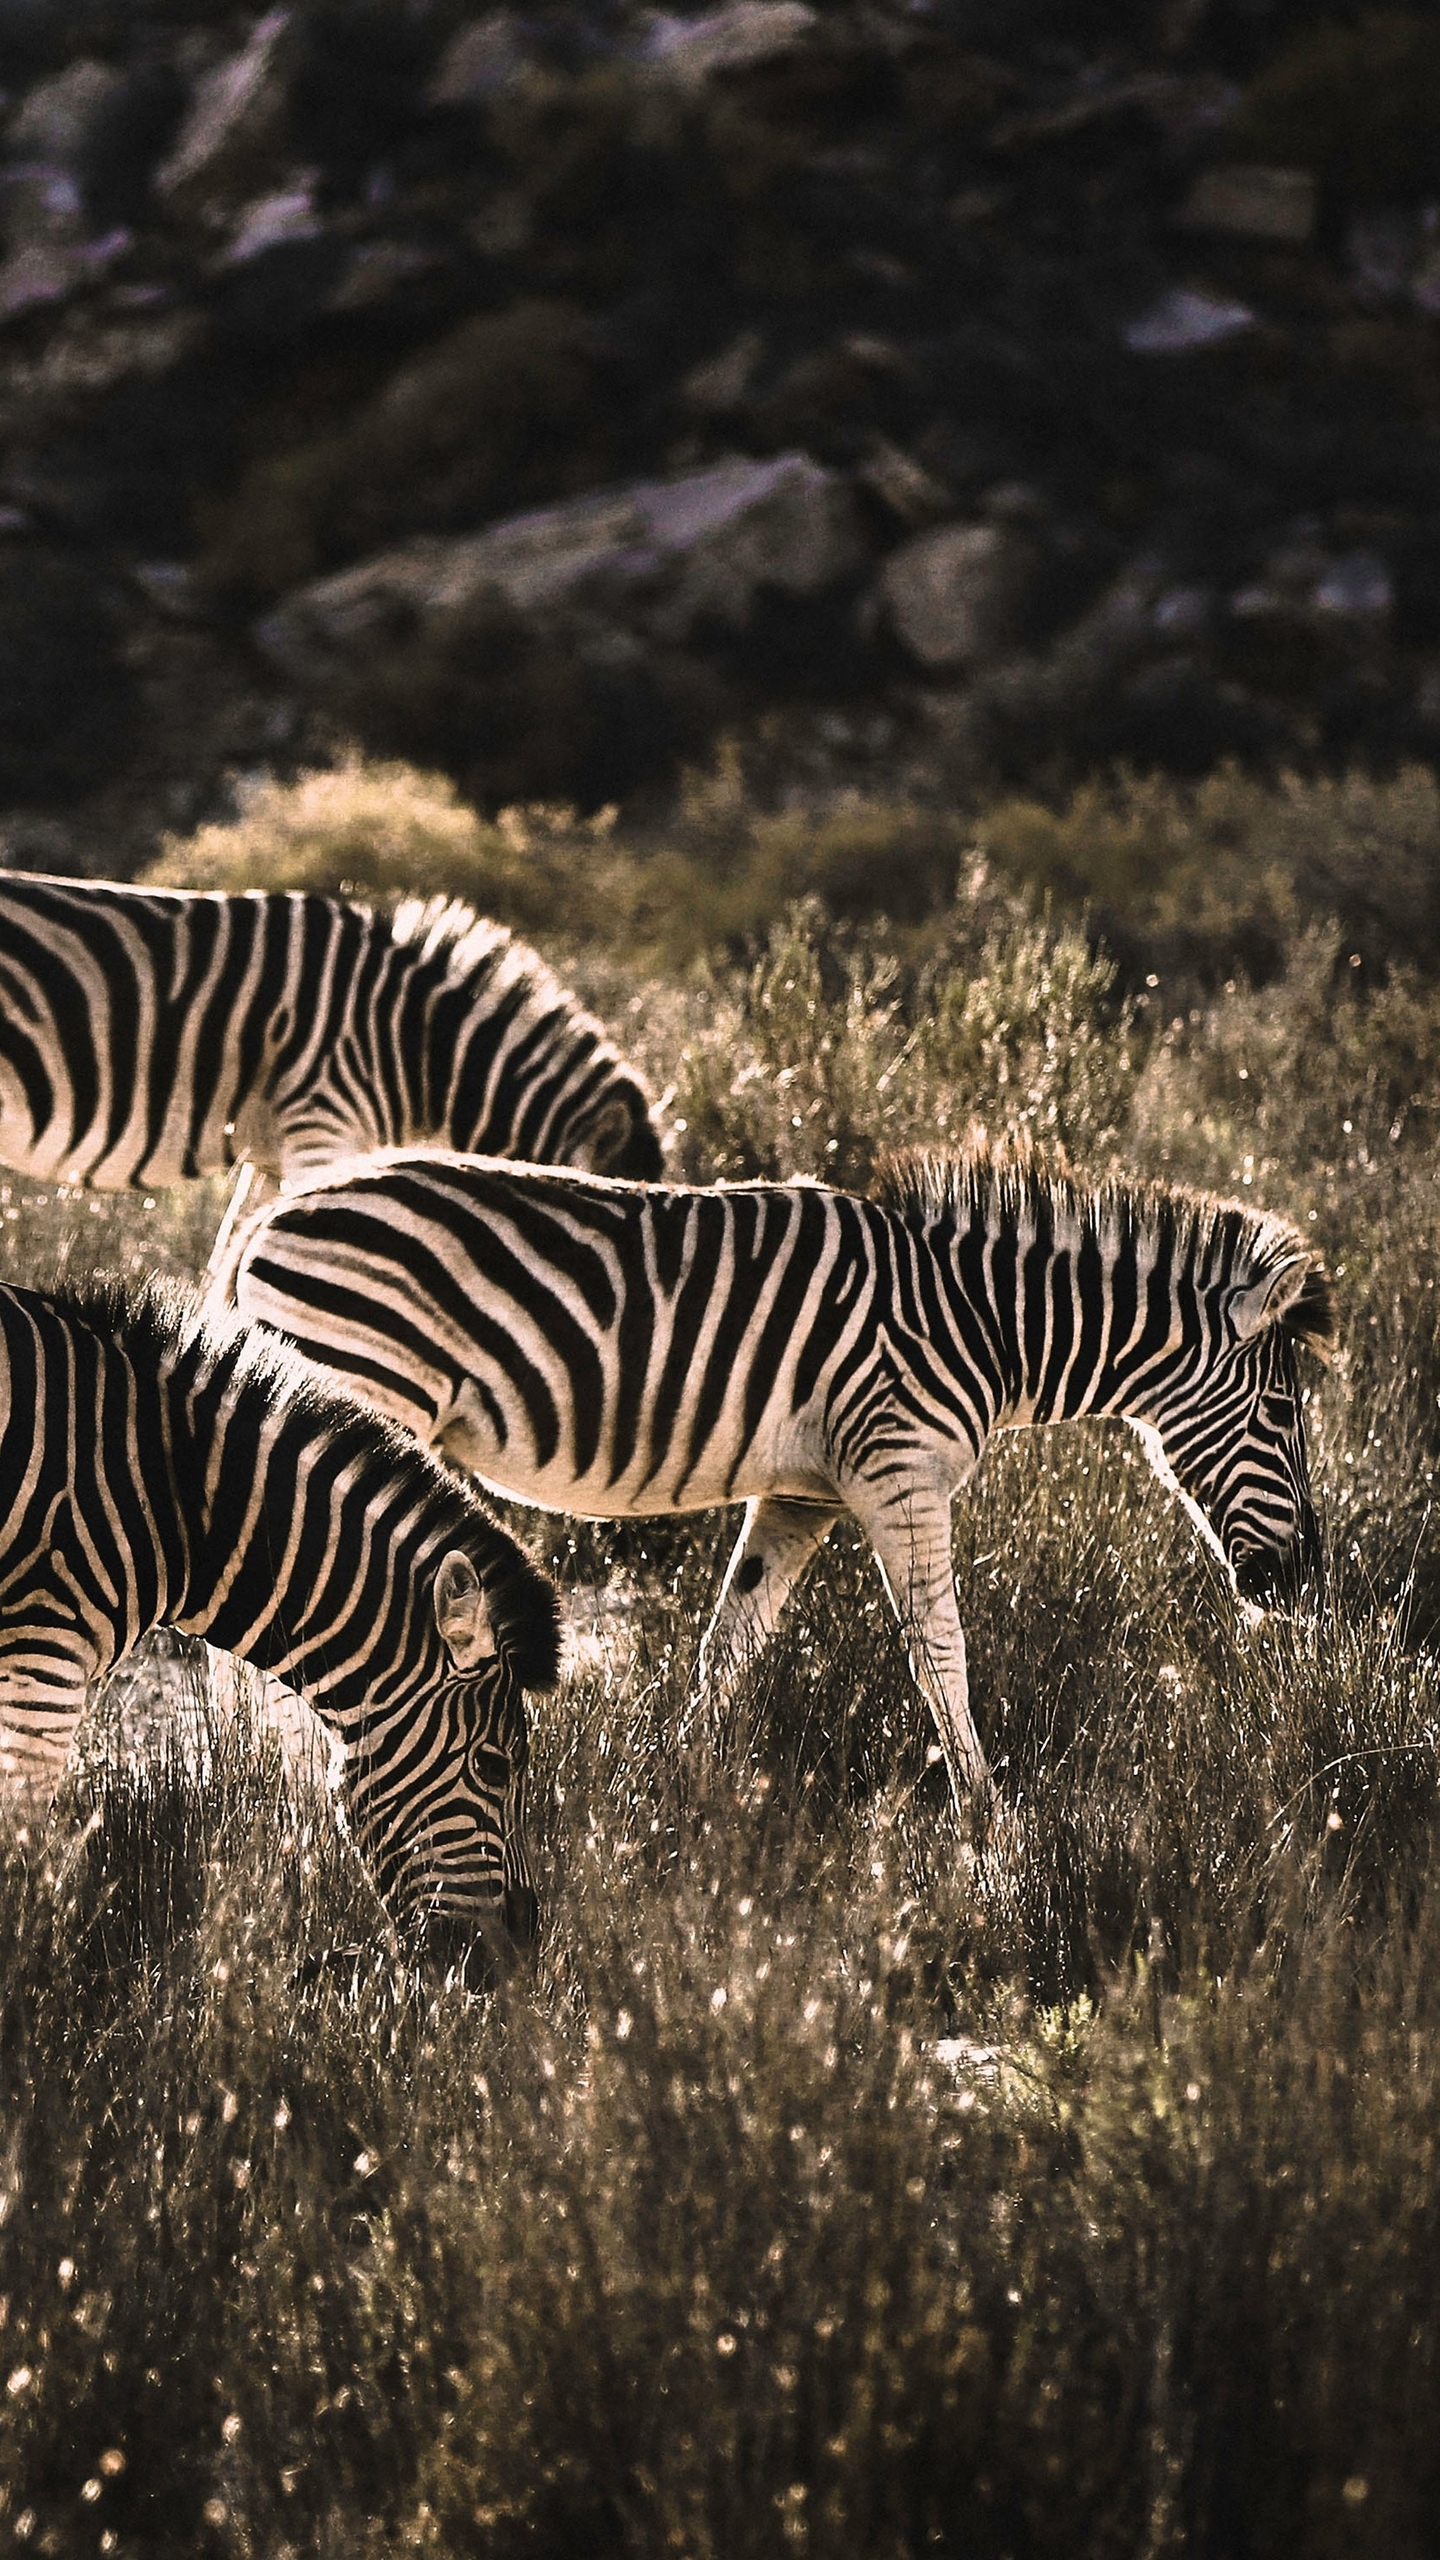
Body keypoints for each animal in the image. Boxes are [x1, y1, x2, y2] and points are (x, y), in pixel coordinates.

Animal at [215, 1131, 1332, 1812]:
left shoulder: (800, 1496)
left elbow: (729, 1645)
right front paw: (991, 1830)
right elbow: (942, 1653)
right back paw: (273, 1803)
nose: (1301, 1583)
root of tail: (273, 1216)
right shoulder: (898, 1471)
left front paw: (671, 1790)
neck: (978, 1322)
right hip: (357, 1387)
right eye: (1282, 1416)